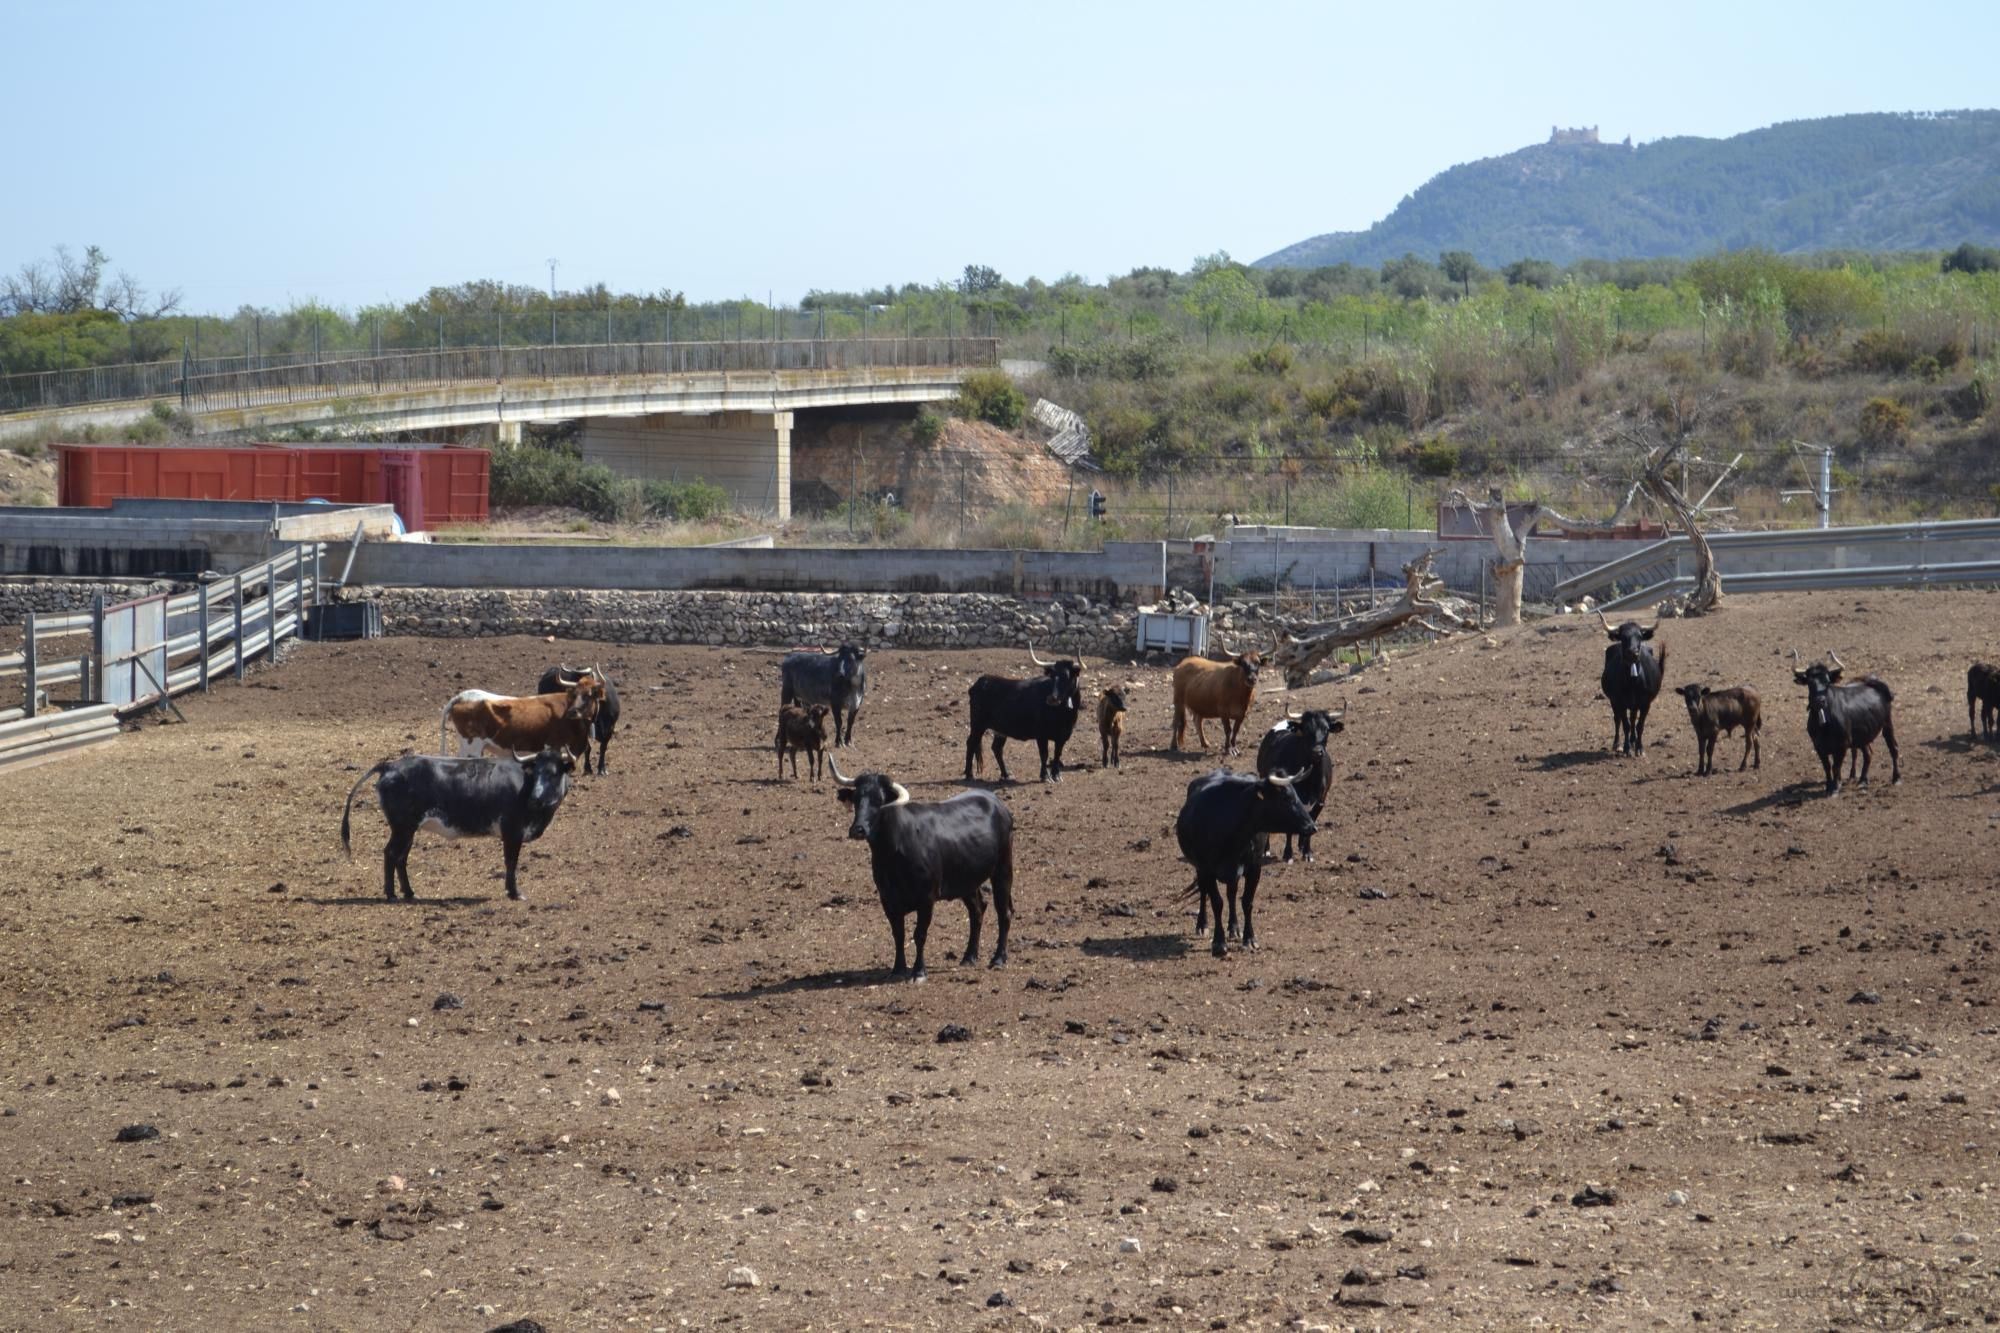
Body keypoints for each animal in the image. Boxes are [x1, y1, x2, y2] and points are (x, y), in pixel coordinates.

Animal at [340, 740, 576, 896]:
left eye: (555, 773)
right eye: (537, 772)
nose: (537, 798)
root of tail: (390, 765)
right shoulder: (512, 832)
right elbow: (511, 861)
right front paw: (514, 892)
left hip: (408, 830)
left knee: (401, 857)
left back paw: (409, 892)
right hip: (402, 828)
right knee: (391, 854)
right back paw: (391, 894)